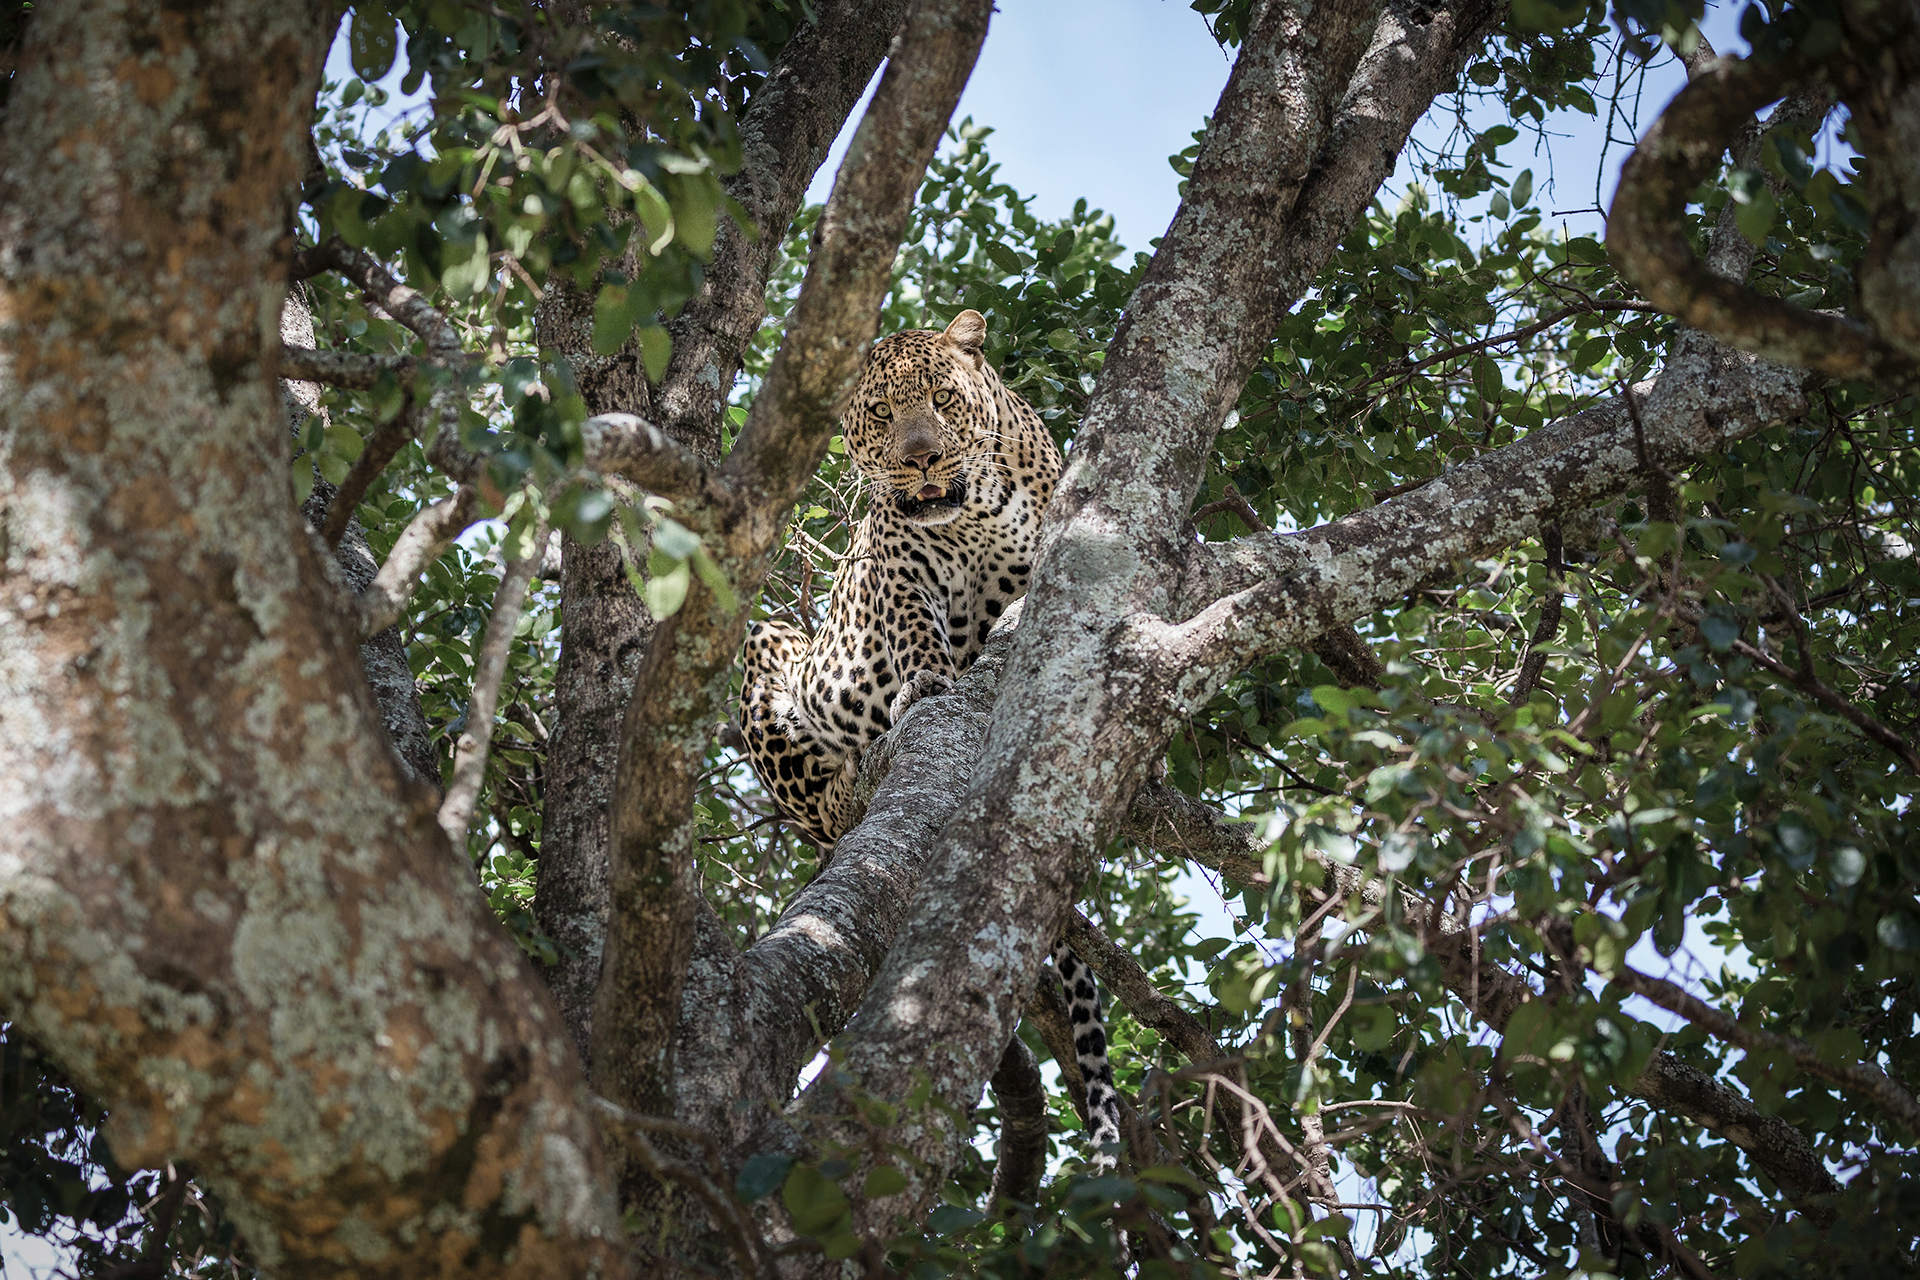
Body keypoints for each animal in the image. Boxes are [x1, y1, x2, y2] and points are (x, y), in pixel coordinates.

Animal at [738, 309, 1122, 1173]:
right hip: (770, 643)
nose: (920, 456)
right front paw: (922, 683)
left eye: (943, 399)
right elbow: (916, 629)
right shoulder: (897, 569)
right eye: (883, 413)